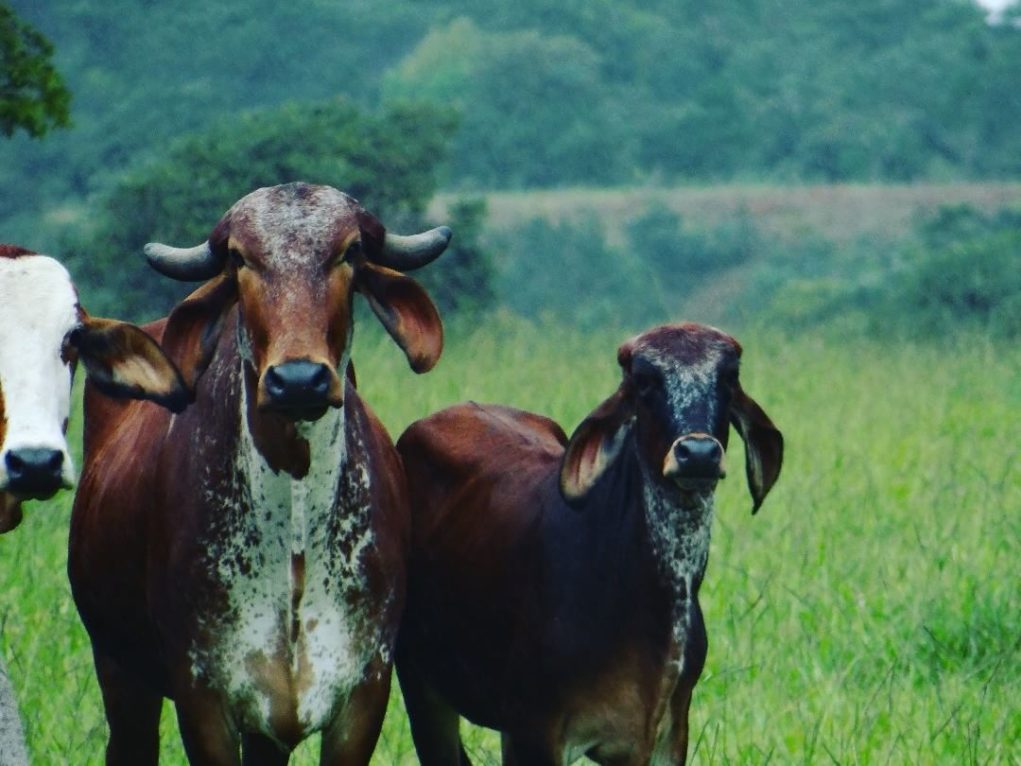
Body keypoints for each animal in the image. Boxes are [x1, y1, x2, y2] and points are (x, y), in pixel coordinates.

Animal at [69, 182, 453, 763]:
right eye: (239, 259)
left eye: (350, 252)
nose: (298, 380)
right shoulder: (203, 697)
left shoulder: (364, 693)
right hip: (120, 672)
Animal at [394, 324, 784, 766]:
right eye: (643, 380)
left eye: (730, 377)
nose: (697, 453)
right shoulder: (531, 731)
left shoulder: (666, 734)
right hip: (420, 686)